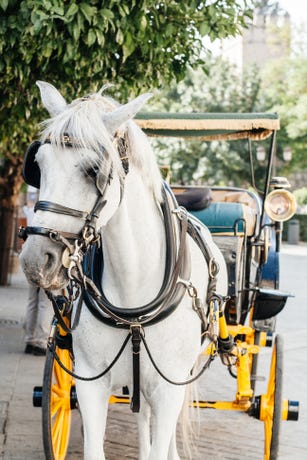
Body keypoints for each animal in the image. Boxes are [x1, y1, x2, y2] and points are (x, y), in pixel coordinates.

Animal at [19, 82, 229, 460]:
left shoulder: (168, 386)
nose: (35, 260)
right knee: (142, 413)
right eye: (38, 165)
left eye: (93, 170)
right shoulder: (90, 381)